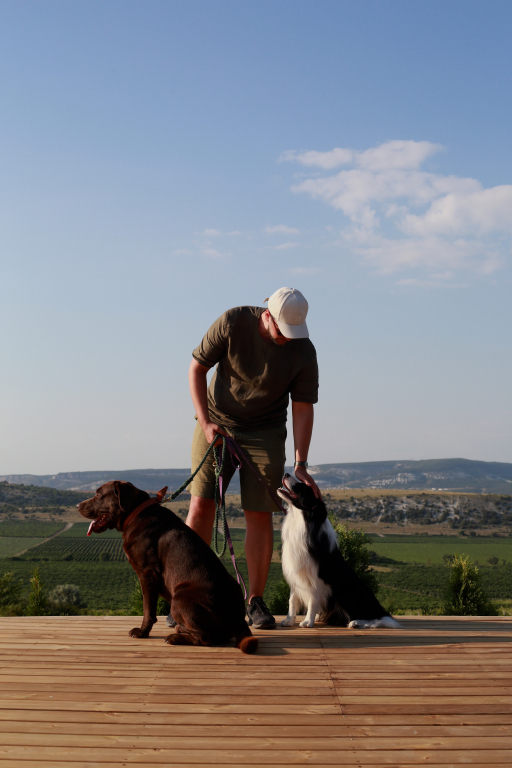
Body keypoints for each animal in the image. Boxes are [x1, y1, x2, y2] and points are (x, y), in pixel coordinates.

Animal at [78, 480, 258, 656]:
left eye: (98, 495)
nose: (78, 505)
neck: (136, 513)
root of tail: (238, 618)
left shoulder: (147, 574)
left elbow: (148, 610)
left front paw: (142, 632)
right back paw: (180, 630)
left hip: (179, 598)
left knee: (205, 637)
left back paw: (174, 637)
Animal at [276, 474, 400, 632]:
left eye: (303, 486)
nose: (286, 474)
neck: (303, 520)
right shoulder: (296, 574)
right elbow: (292, 600)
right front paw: (289, 620)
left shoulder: (318, 577)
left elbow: (312, 600)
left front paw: (308, 621)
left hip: (350, 592)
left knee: (376, 619)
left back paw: (356, 623)